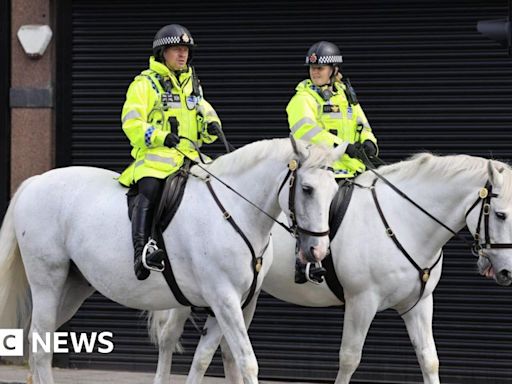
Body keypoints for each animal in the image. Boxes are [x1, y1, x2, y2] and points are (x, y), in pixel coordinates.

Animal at [0, 138, 344, 384]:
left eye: (334, 189)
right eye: (307, 188)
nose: (318, 251)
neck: (234, 211)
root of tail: (35, 181)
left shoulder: (236, 304)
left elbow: (204, 360)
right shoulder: (224, 300)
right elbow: (247, 362)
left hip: (73, 287)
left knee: (40, 340)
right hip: (48, 282)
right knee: (40, 347)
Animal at [150, 154, 512, 384]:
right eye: (501, 214)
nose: (506, 273)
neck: (402, 219)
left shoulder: (419, 304)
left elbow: (429, 359)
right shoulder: (362, 302)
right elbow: (349, 358)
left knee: (225, 348)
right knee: (169, 338)